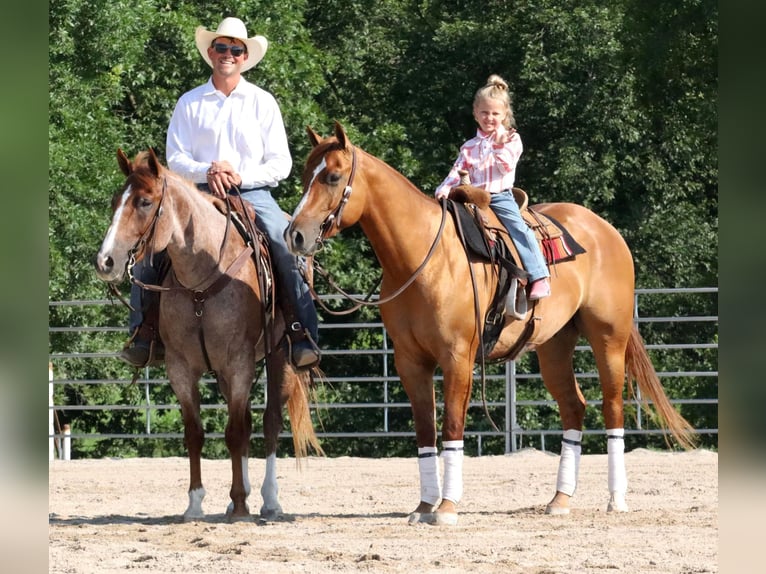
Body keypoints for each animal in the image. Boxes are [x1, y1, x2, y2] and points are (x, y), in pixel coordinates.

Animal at [94, 147, 322, 520]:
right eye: (116, 200)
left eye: (144, 202)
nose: (105, 261)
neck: (203, 279)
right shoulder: (181, 368)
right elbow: (195, 433)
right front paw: (196, 503)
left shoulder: (239, 361)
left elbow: (236, 431)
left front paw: (241, 505)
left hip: (281, 357)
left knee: (270, 421)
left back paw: (269, 500)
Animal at [286, 124, 696, 528]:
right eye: (305, 175)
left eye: (333, 176)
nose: (295, 235)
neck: (422, 257)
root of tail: (606, 231)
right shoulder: (409, 361)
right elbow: (425, 430)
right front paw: (423, 506)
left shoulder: (457, 358)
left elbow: (451, 426)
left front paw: (446, 508)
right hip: (554, 345)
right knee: (574, 407)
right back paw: (560, 500)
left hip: (609, 338)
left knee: (612, 407)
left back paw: (616, 499)